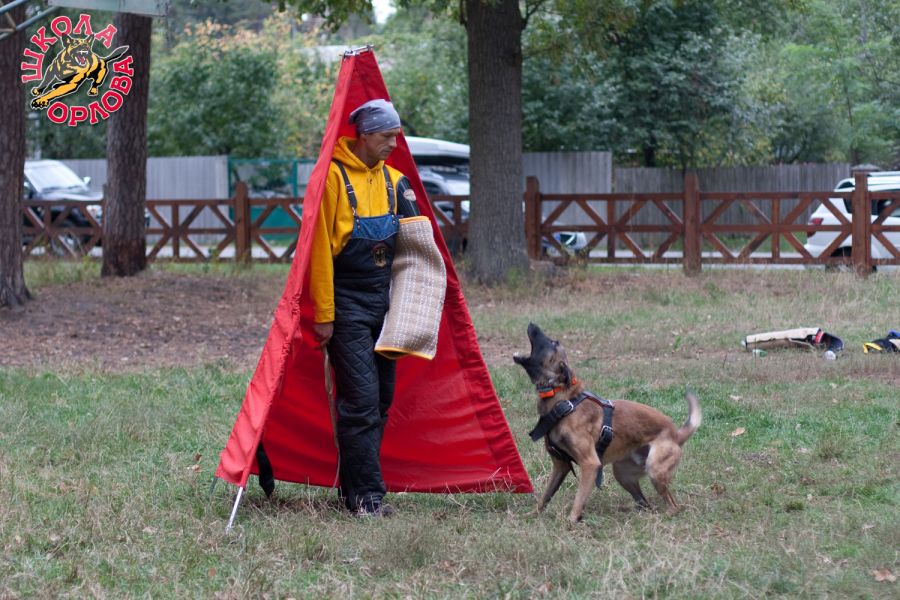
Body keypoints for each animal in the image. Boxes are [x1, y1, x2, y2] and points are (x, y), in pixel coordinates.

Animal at [513, 323, 701, 522]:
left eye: (552, 342)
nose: (532, 324)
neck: (565, 401)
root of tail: (676, 434)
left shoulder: (590, 464)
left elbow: (578, 499)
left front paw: (571, 521)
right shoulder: (560, 465)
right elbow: (545, 497)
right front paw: (531, 515)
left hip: (655, 470)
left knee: (673, 506)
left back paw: (662, 515)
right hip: (622, 473)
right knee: (645, 503)